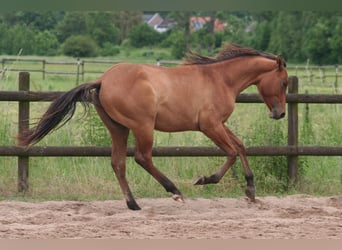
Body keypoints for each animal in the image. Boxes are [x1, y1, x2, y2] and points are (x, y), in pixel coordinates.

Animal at [16, 44, 288, 210]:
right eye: (285, 82)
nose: (280, 113)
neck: (219, 79)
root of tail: (103, 79)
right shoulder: (210, 125)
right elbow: (231, 152)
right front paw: (205, 179)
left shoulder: (220, 124)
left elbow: (241, 146)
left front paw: (251, 190)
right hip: (143, 126)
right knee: (142, 157)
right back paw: (174, 190)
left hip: (118, 128)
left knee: (118, 162)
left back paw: (133, 203)